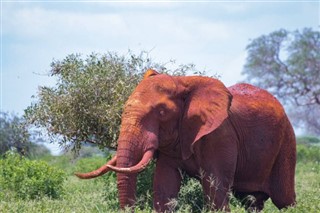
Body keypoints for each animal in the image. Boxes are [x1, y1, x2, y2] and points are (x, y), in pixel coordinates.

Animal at [74, 69, 296, 211]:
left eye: (161, 112)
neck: (181, 81)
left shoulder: (220, 136)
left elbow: (215, 187)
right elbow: (164, 186)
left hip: (287, 141)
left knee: (284, 199)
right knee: (251, 201)